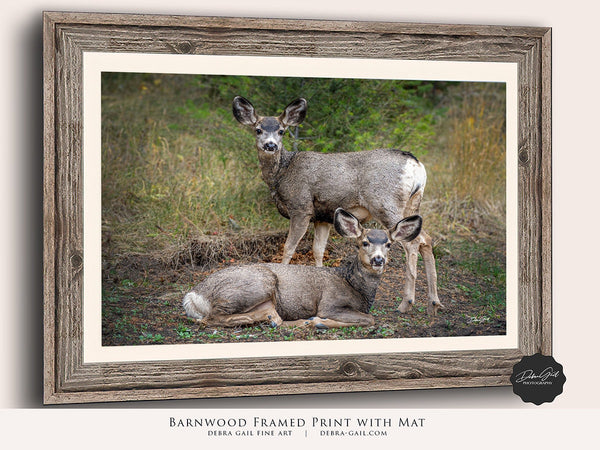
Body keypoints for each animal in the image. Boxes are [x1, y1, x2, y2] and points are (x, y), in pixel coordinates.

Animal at [183, 209, 422, 328]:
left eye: (389, 244)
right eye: (363, 242)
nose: (378, 259)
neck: (354, 285)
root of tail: (193, 296)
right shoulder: (329, 303)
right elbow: (369, 319)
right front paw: (320, 322)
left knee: (272, 316)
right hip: (255, 285)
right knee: (209, 318)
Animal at [232, 95, 442, 314]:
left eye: (281, 130)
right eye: (258, 129)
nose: (271, 145)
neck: (283, 172)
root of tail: (416, 165)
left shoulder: (301, 207)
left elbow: (289, 247)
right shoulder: (323, 217)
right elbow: (318, 250)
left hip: (386, 203)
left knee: (412, 242)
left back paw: (406, 303)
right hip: (413, 202)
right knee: (426, 238)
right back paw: (434, 302)